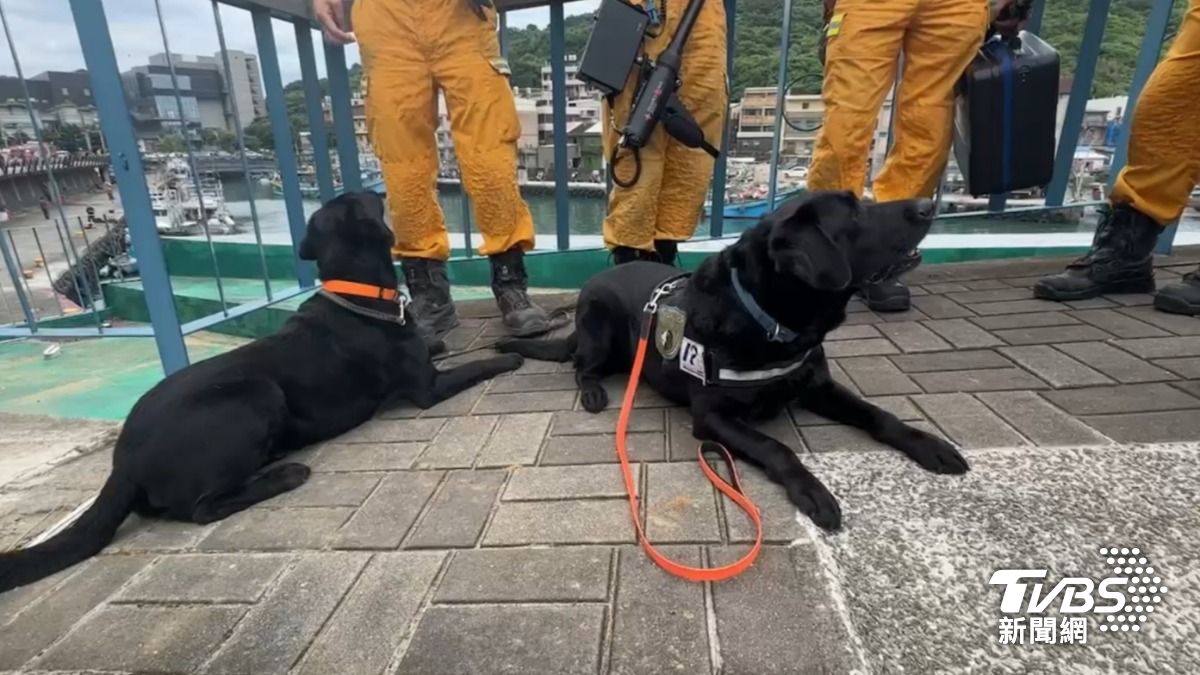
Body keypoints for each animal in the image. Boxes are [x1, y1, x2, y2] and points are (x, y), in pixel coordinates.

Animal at [1, 189, 525, 588]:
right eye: (367, 198)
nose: (378, 187)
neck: (356, 293)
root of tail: (121, 461)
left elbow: (437, 344)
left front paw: (439, 339)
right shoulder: (427, 388)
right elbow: (475, 364)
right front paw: (509, 356)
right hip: (255, 396)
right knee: (202, 508)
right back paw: (285, 474)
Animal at [501, 192, 969, 528]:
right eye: (854, 215)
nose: (927, 205)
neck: (771, 321)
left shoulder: (818, 386)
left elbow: (878, 415)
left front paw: (928, 444)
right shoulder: (712, 417)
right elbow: (776, 446)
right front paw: (812, 490)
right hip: (600, 334)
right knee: (581, 367)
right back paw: (594, 391)